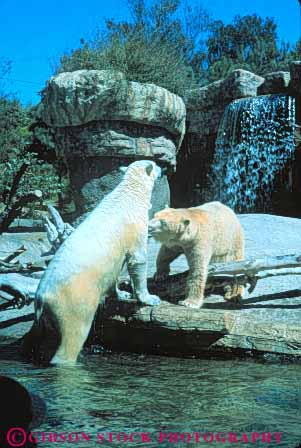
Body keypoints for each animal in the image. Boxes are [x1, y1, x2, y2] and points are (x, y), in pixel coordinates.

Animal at [33, 161, 161, 364]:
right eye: (155, 165)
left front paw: (122, 293)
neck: (129, 194)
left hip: (44, 317)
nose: (161, 169)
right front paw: (150, 298)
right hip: (72, 302)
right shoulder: (134, 227)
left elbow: (115, 272)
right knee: (73, 336)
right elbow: (138, 259)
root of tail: (42, 298)